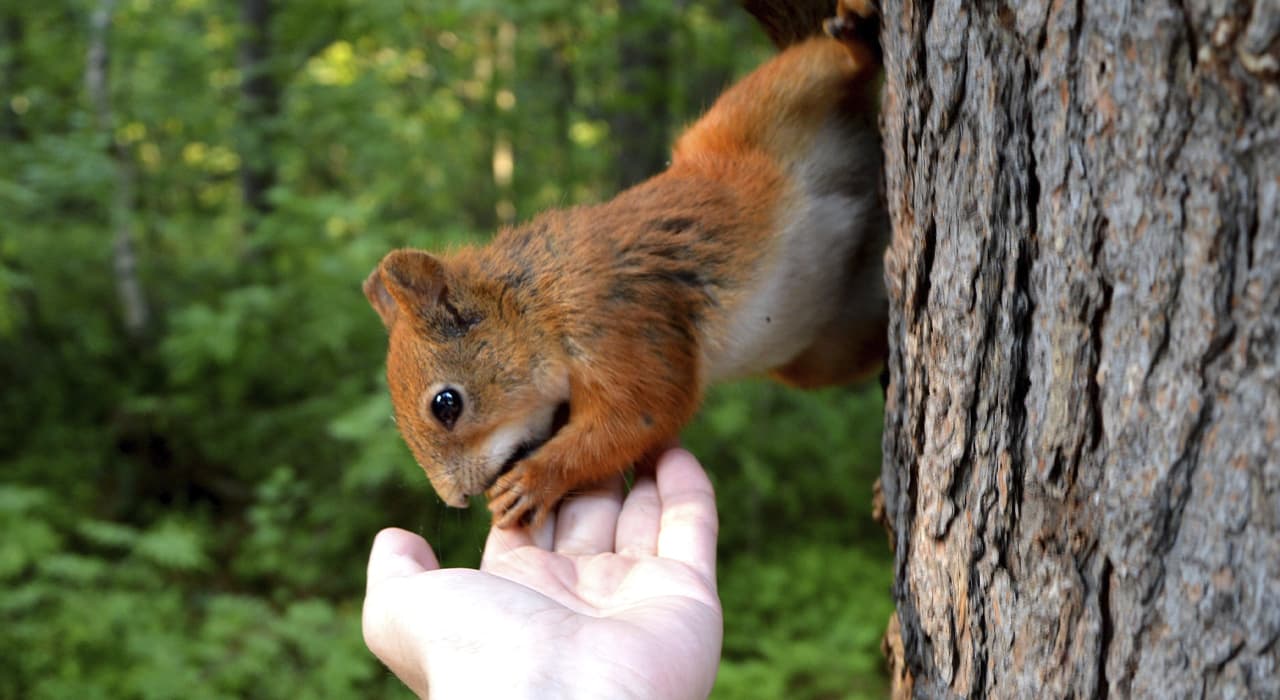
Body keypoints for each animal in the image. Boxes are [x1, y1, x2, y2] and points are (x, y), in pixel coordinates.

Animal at [364, 0, 886, 528]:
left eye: (446, 404)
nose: (455, 500)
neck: (539, 301)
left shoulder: (616, 319)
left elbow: (642, 412)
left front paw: (534, 480)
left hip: (761, 105)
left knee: (828, 64)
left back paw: (853, 33)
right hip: (827, 347)